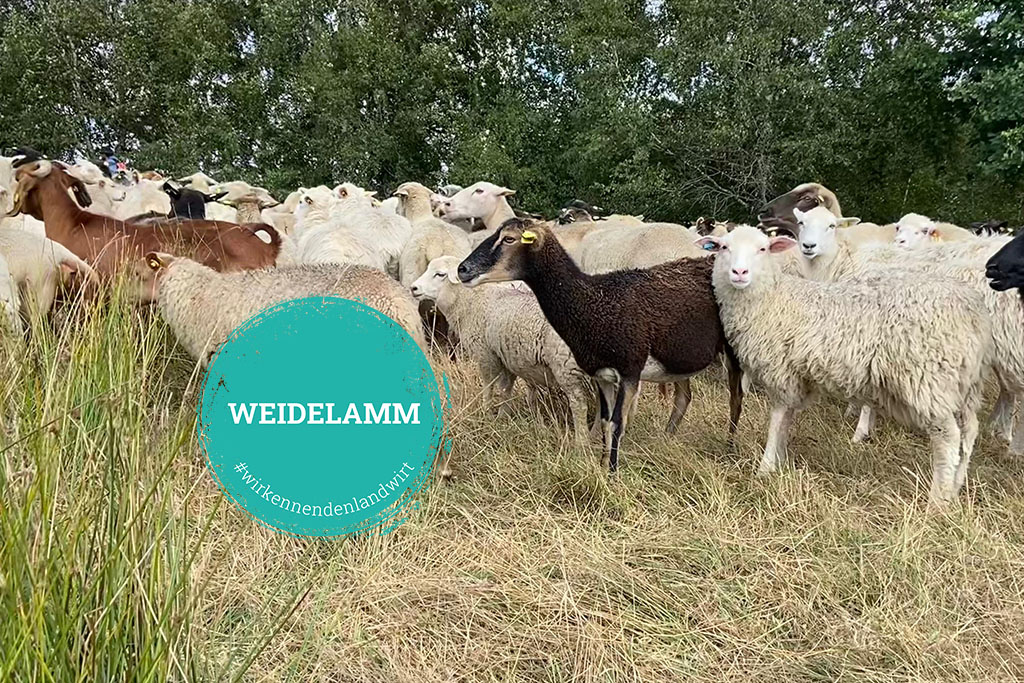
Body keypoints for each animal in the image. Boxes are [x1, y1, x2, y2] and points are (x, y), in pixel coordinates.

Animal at [410, 255, 595, 445]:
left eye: (440, 274)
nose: (413, 288)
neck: (470, 301)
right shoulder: (504, 356)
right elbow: (506, 389)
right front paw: (503, 416)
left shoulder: (485, 354)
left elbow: (488, 386)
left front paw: (487, 413)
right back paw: (596, 436)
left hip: (565, 366)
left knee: (579, 404)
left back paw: (581, 442)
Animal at [457, 219, 743, 472]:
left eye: (509, 239)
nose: (462, 270)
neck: (596, 302)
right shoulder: (602, 374)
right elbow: (605, 422)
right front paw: (603, 464)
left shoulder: (629, 371)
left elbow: (617, 423)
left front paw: (612, 474)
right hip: (679, 356)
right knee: (684, 397)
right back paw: (666, 438)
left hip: (734, 348)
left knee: (736, 399)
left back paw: (730, 448)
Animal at [700, 225, 990, 504]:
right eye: (724, 247)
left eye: (762, 249)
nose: (739, 272)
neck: (772, 297)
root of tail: (972, 309)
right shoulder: (796, 376)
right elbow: (787, 420)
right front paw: (780, 462)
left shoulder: (780, 372)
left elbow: (777, 418)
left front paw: (766, 466)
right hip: (964, 384)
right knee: (969, 431)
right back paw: (956, 487)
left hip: (929, 379)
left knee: (948, 437)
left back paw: (938, 500)